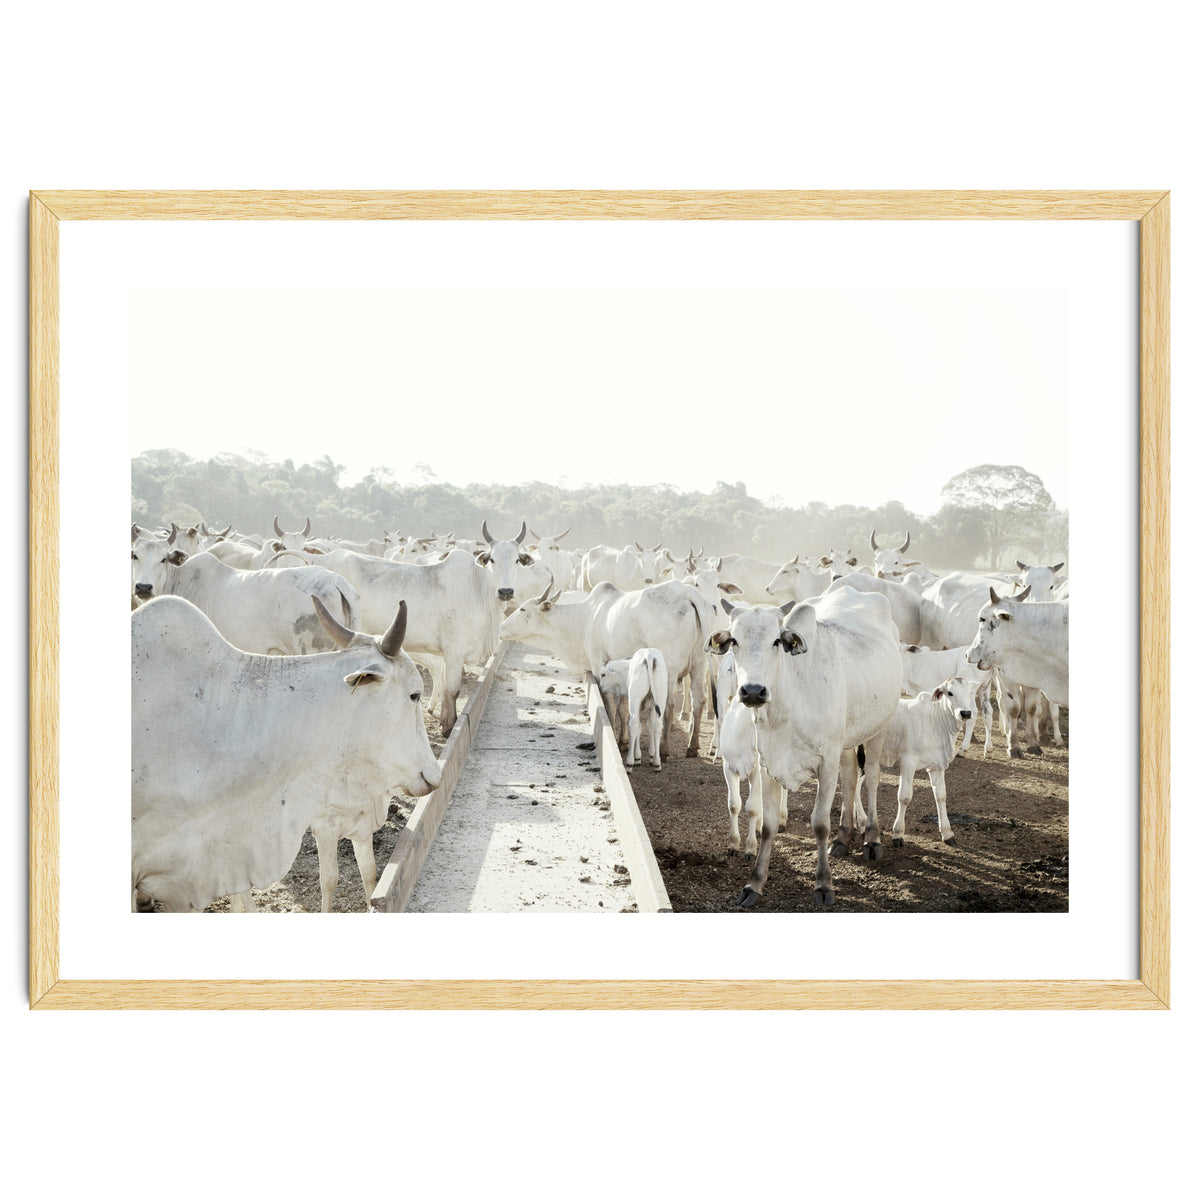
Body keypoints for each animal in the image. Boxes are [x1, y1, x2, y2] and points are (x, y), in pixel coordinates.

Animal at [499, 580, 709, 757]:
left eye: (523, 609)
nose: (501, 628)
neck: (584, 618)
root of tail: (686, 592)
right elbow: (624, 707)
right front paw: (624, 740)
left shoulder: (599, 664)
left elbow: (609, 704)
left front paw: (615, 736)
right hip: (699, 664)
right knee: (699, 701)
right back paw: (693, 746)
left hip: (669, 670)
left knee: (669, 705)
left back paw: (664, 749)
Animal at [709, 587, 902, 906]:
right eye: (734, 640)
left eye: (777, 640)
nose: (752, 691)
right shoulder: (768, 763)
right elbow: (767, 825)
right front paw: (754, 884)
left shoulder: (826, 762)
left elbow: (820, 823)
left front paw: (824, 884)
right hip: (845, 741)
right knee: (851, 777)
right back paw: (843, 836)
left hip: (879, 726)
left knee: (872, 777)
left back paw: (872, 839)